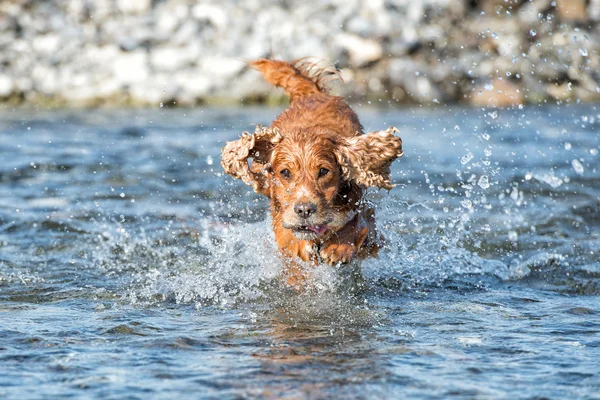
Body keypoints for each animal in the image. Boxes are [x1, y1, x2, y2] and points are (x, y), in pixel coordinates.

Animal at [220, 58, 404, 288]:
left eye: (324, 171)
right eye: (285, 173)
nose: (304, 210)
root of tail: (311, 94)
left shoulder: (363, 211)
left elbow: (359, 224)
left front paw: (338, 248)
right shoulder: (282, 217)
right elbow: (290, 240)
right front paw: (301, 247)